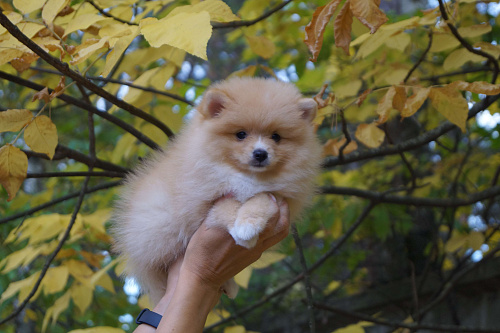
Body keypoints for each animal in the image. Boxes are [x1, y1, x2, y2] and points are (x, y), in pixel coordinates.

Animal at [111, 77, 322, 304]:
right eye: (241, 134)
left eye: (276, 137)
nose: (260, 153)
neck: (247, 177)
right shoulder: (203, 201)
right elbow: (226, 206)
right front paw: (244, 232)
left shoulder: (279, 196)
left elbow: (261, 199)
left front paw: (248, 224)